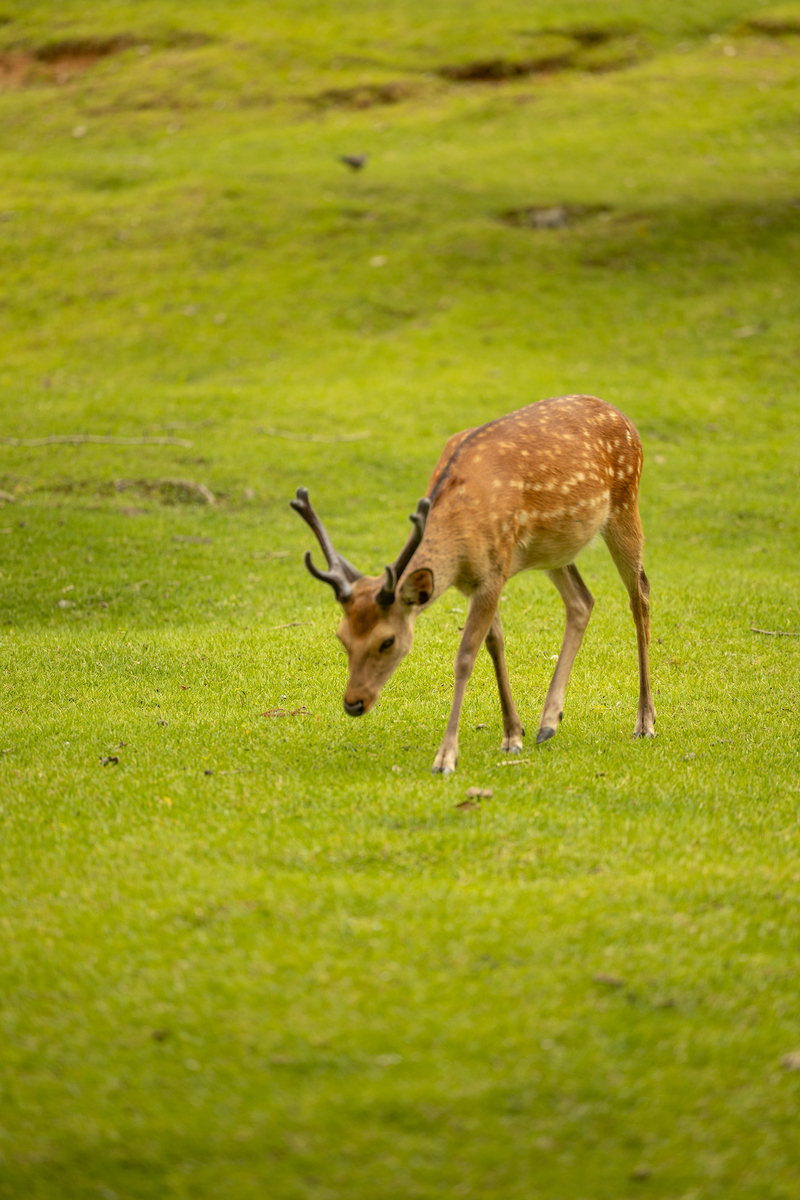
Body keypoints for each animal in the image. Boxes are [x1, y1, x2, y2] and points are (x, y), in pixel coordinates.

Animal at [291, 388, 652, 772]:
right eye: (341, 636)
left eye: (387, 641)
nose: (353, 703)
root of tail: (622, 416)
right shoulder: (477, 581)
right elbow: (494, 644)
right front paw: (513, 735)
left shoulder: (495, 572)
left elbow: (465, 656)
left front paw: (446, 756)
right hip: (556, 548)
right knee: (582, 601)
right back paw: (548, 722)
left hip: (625, 504)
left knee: (639, 596)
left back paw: (645, 722)